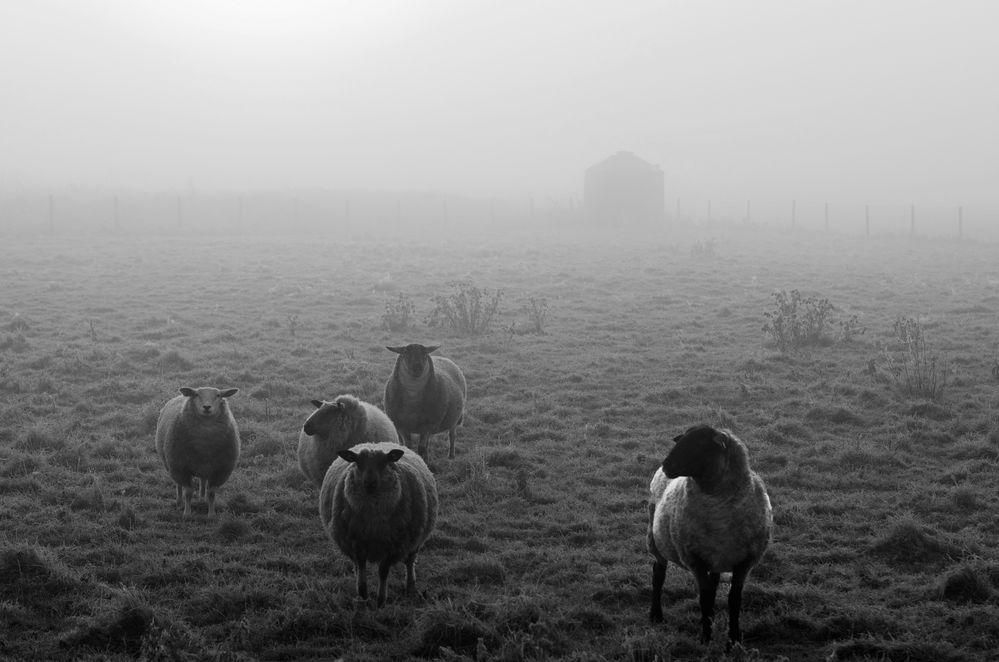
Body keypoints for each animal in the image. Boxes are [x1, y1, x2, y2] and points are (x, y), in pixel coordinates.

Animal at [156, 386, 242, 520]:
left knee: (203, 481)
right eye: (196, 395)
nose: (207, 407)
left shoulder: (220, 470)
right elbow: (188, 492)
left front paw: (211, 515)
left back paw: (202, 499)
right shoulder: (181, 468)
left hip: (205, 466)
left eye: (218, 395)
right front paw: (187, 513)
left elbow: (211, 493)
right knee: (178, 484)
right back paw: (179, 501)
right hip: (172, 464)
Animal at [320, 444, 438, 608]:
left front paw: (381, 600)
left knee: (410, 562)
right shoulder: (356, 543)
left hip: (416, 540)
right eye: (358, 462)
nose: (369, 482)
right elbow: (361, 565)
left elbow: (383, 571)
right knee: (357, 565)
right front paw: (363, 593)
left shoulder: (394, 546)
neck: (373, 524)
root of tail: (377, 442)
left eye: (384, 462)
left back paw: (410, 586)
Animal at [648, 426, 772, 648]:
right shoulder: (694, 559)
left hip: (716, 558)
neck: (719, 509)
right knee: (658, 573)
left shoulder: (745, 562)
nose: (666, 465)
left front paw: (733, 639)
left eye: (699, 443)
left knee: (713, 585)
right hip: (656, 539)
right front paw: (706, 637)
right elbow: (704, 598)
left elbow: (733, 599)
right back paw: (656, 614)